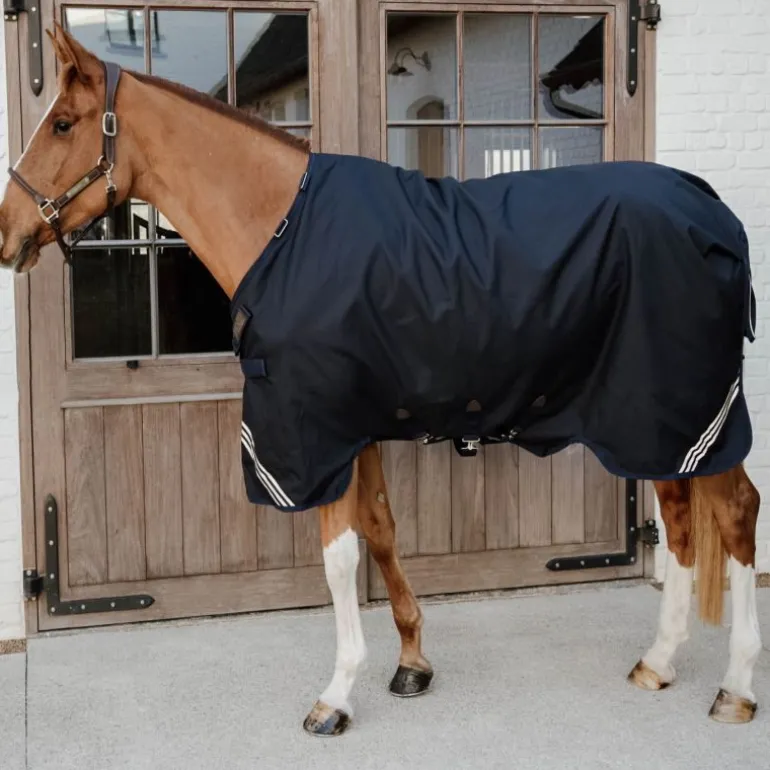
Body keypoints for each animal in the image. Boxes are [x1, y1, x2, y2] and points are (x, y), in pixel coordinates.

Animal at [0, 23, 762, 736]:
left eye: (62, 123)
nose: (7, 234)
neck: (285, 230)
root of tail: (711, 212)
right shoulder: (355, 427)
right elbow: (382, 530)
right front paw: (412, 664)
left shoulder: (316, 432)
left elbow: (338, 558)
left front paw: (335, 696)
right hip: (653, 421)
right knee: (681, 519)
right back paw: (658, 662)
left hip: (688, 410)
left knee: (735, 513)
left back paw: (735, 689)